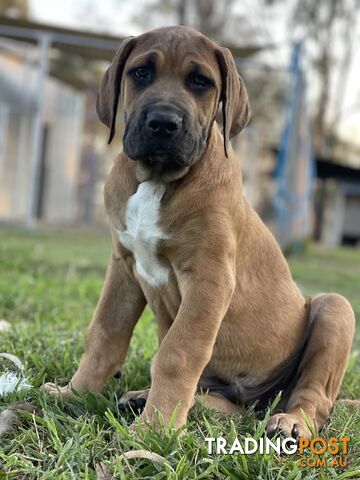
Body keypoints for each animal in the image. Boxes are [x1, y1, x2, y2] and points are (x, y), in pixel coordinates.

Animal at [43, 26, 356, 438]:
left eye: (200, 82)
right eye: (141, 72)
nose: (163, 122)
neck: (157, 179)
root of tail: (260, 400)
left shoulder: (209, 278)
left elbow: (177, 353)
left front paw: (156, 429)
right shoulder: (124, 266)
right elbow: (104, 334)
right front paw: (74, 393)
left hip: (335, 309)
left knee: (314, 398)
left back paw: (292, 422)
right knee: (232, 409)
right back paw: (150, 398)